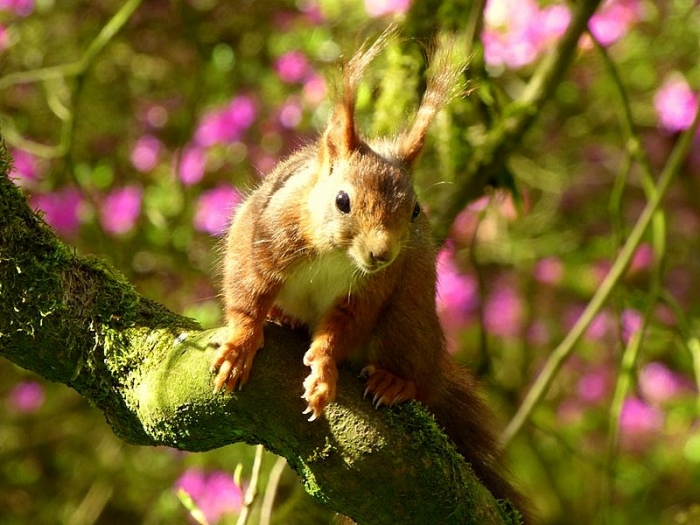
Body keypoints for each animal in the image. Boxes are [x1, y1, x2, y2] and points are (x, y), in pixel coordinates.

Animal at [212, 29, 530, 522]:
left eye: (415, 211)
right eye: (343, 201)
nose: (382, 253)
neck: (336, 254)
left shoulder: (368, 291)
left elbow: (343, 327)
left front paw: (323, 370)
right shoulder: (263, 234)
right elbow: (248, 290)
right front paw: (241, 344)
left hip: (409, 317)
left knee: (417, 375)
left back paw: (394, 381)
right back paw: (283, 320)